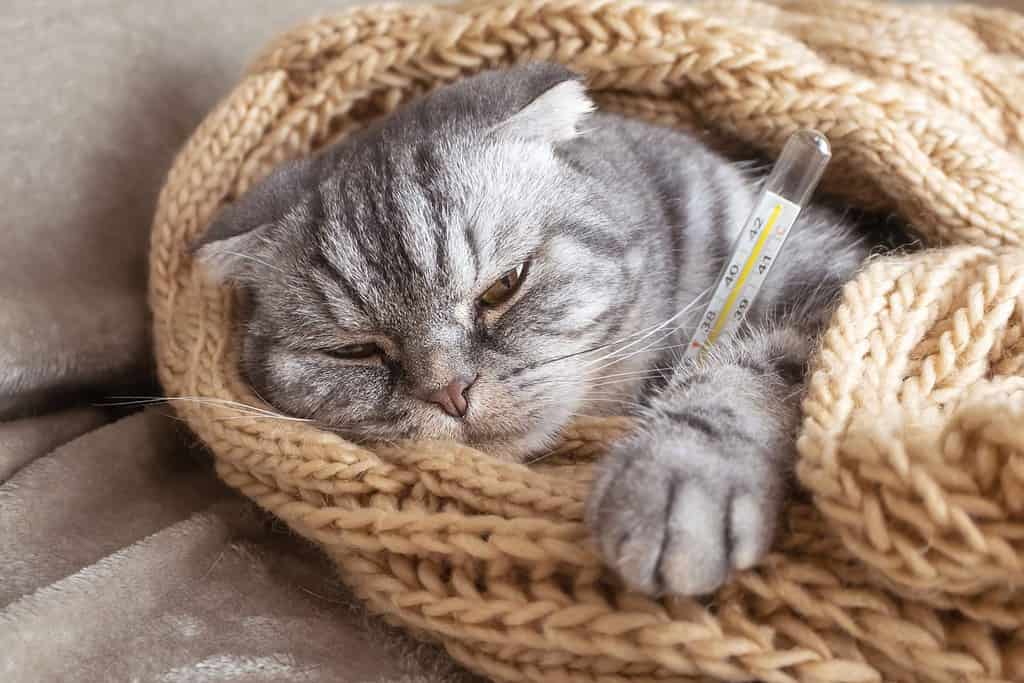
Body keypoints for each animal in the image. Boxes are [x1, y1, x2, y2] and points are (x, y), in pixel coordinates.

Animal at [195, 63, 884, 598]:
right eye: (355, 351)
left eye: (505, 286)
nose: (450, 391)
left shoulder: (833, 280)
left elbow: (749, 375)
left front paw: (675, 476)